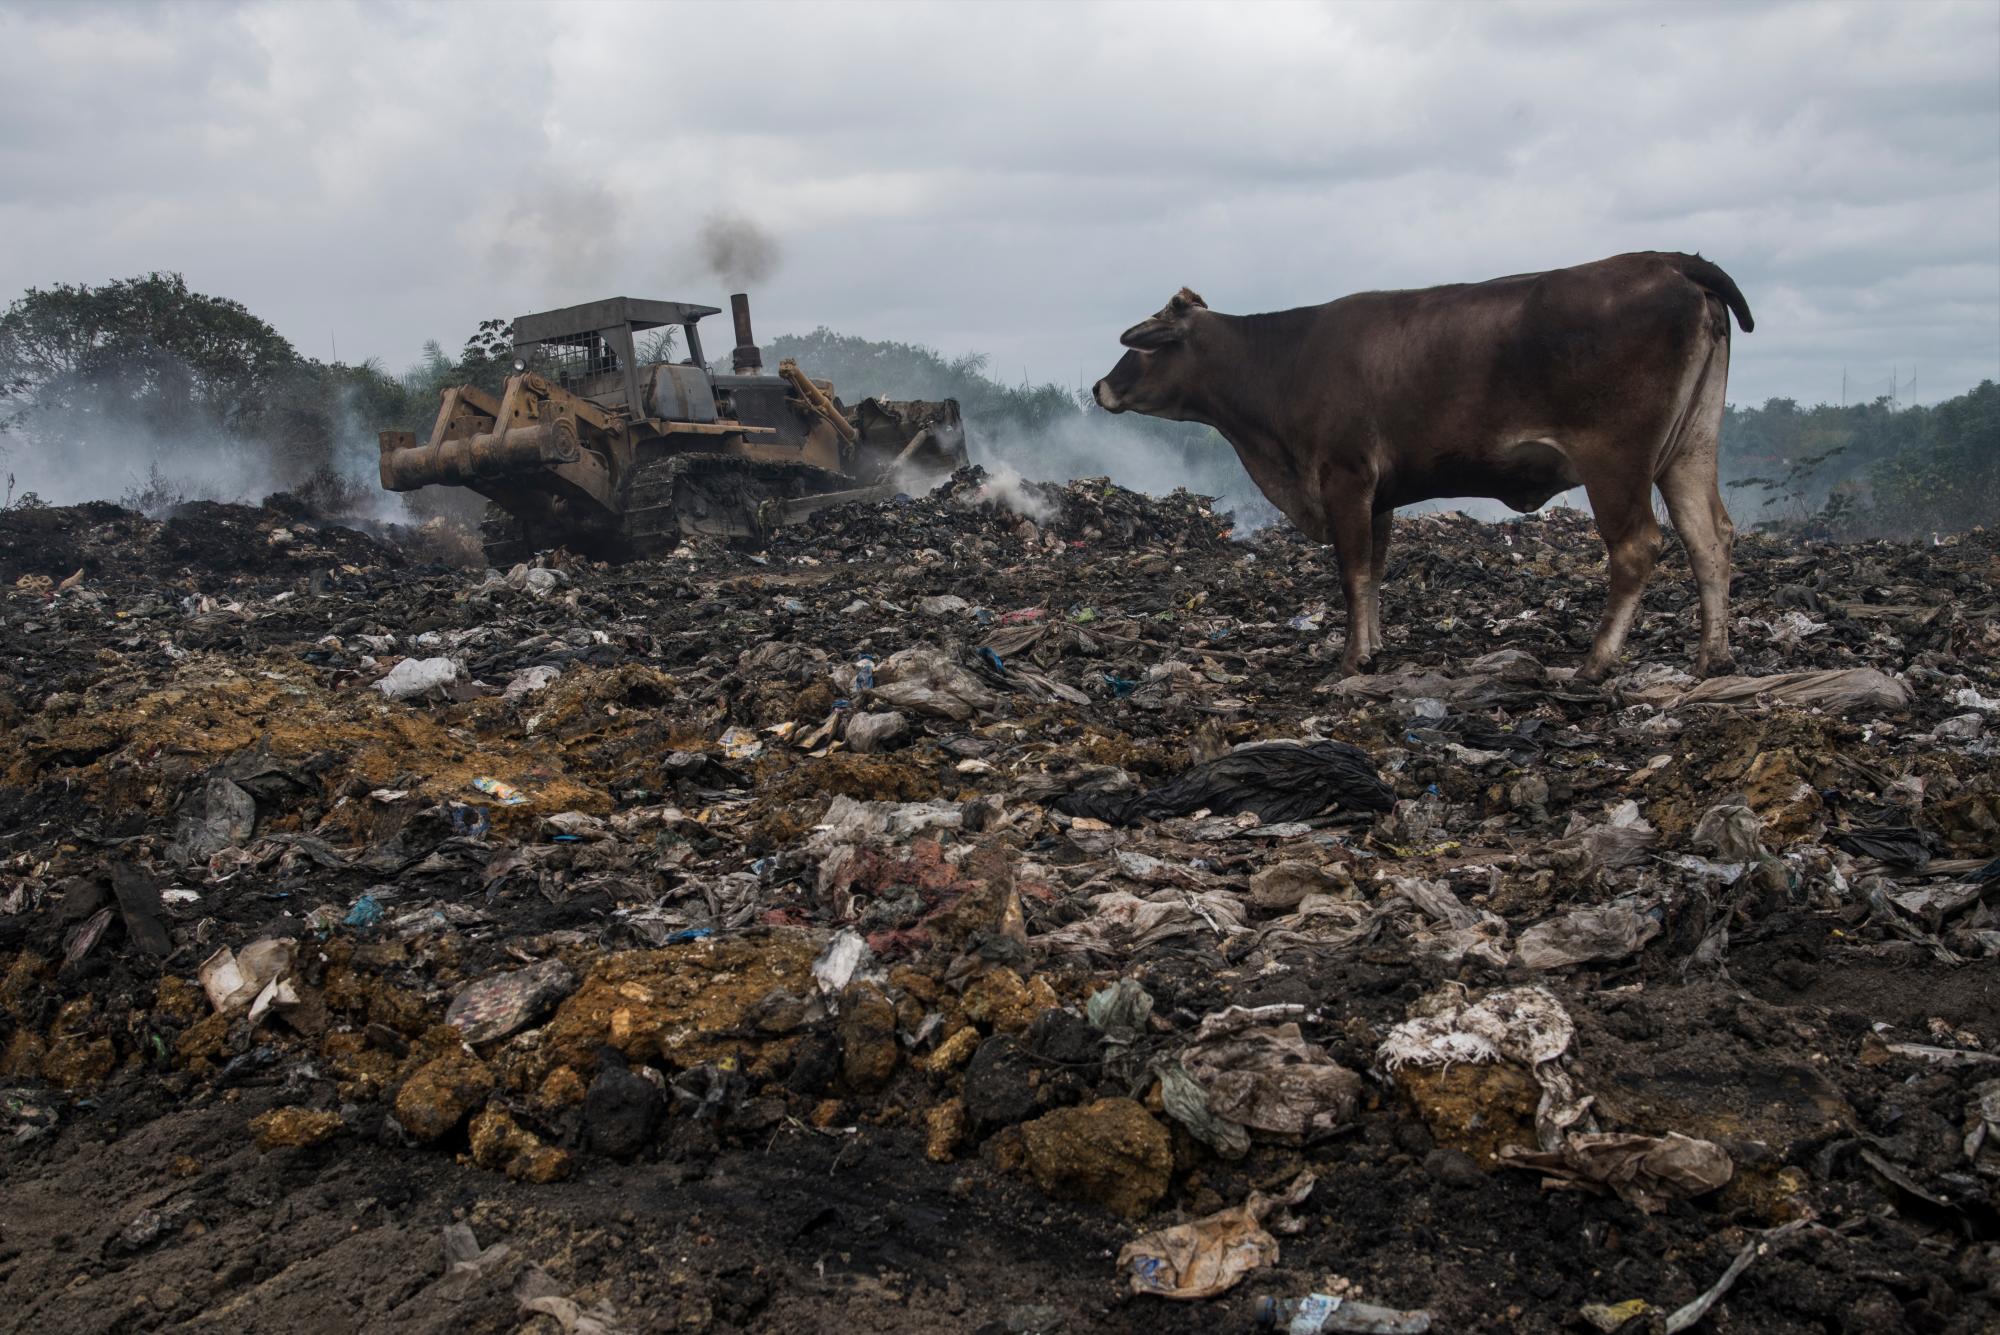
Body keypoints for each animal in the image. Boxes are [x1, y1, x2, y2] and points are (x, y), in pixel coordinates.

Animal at [1092, 251, 1753, 683]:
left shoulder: (1345, 475)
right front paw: (1375, 646)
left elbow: (1353, 572)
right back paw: (1713, 656)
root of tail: (1667, 260)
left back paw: (1596, 661)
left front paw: (1351, 660)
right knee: (1709, 536)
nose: (1100, 386)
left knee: (1639, 545)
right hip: (1691, 445)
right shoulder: (1377, 493)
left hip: (1615, 458)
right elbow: (1374, 573)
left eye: (1140, 348)